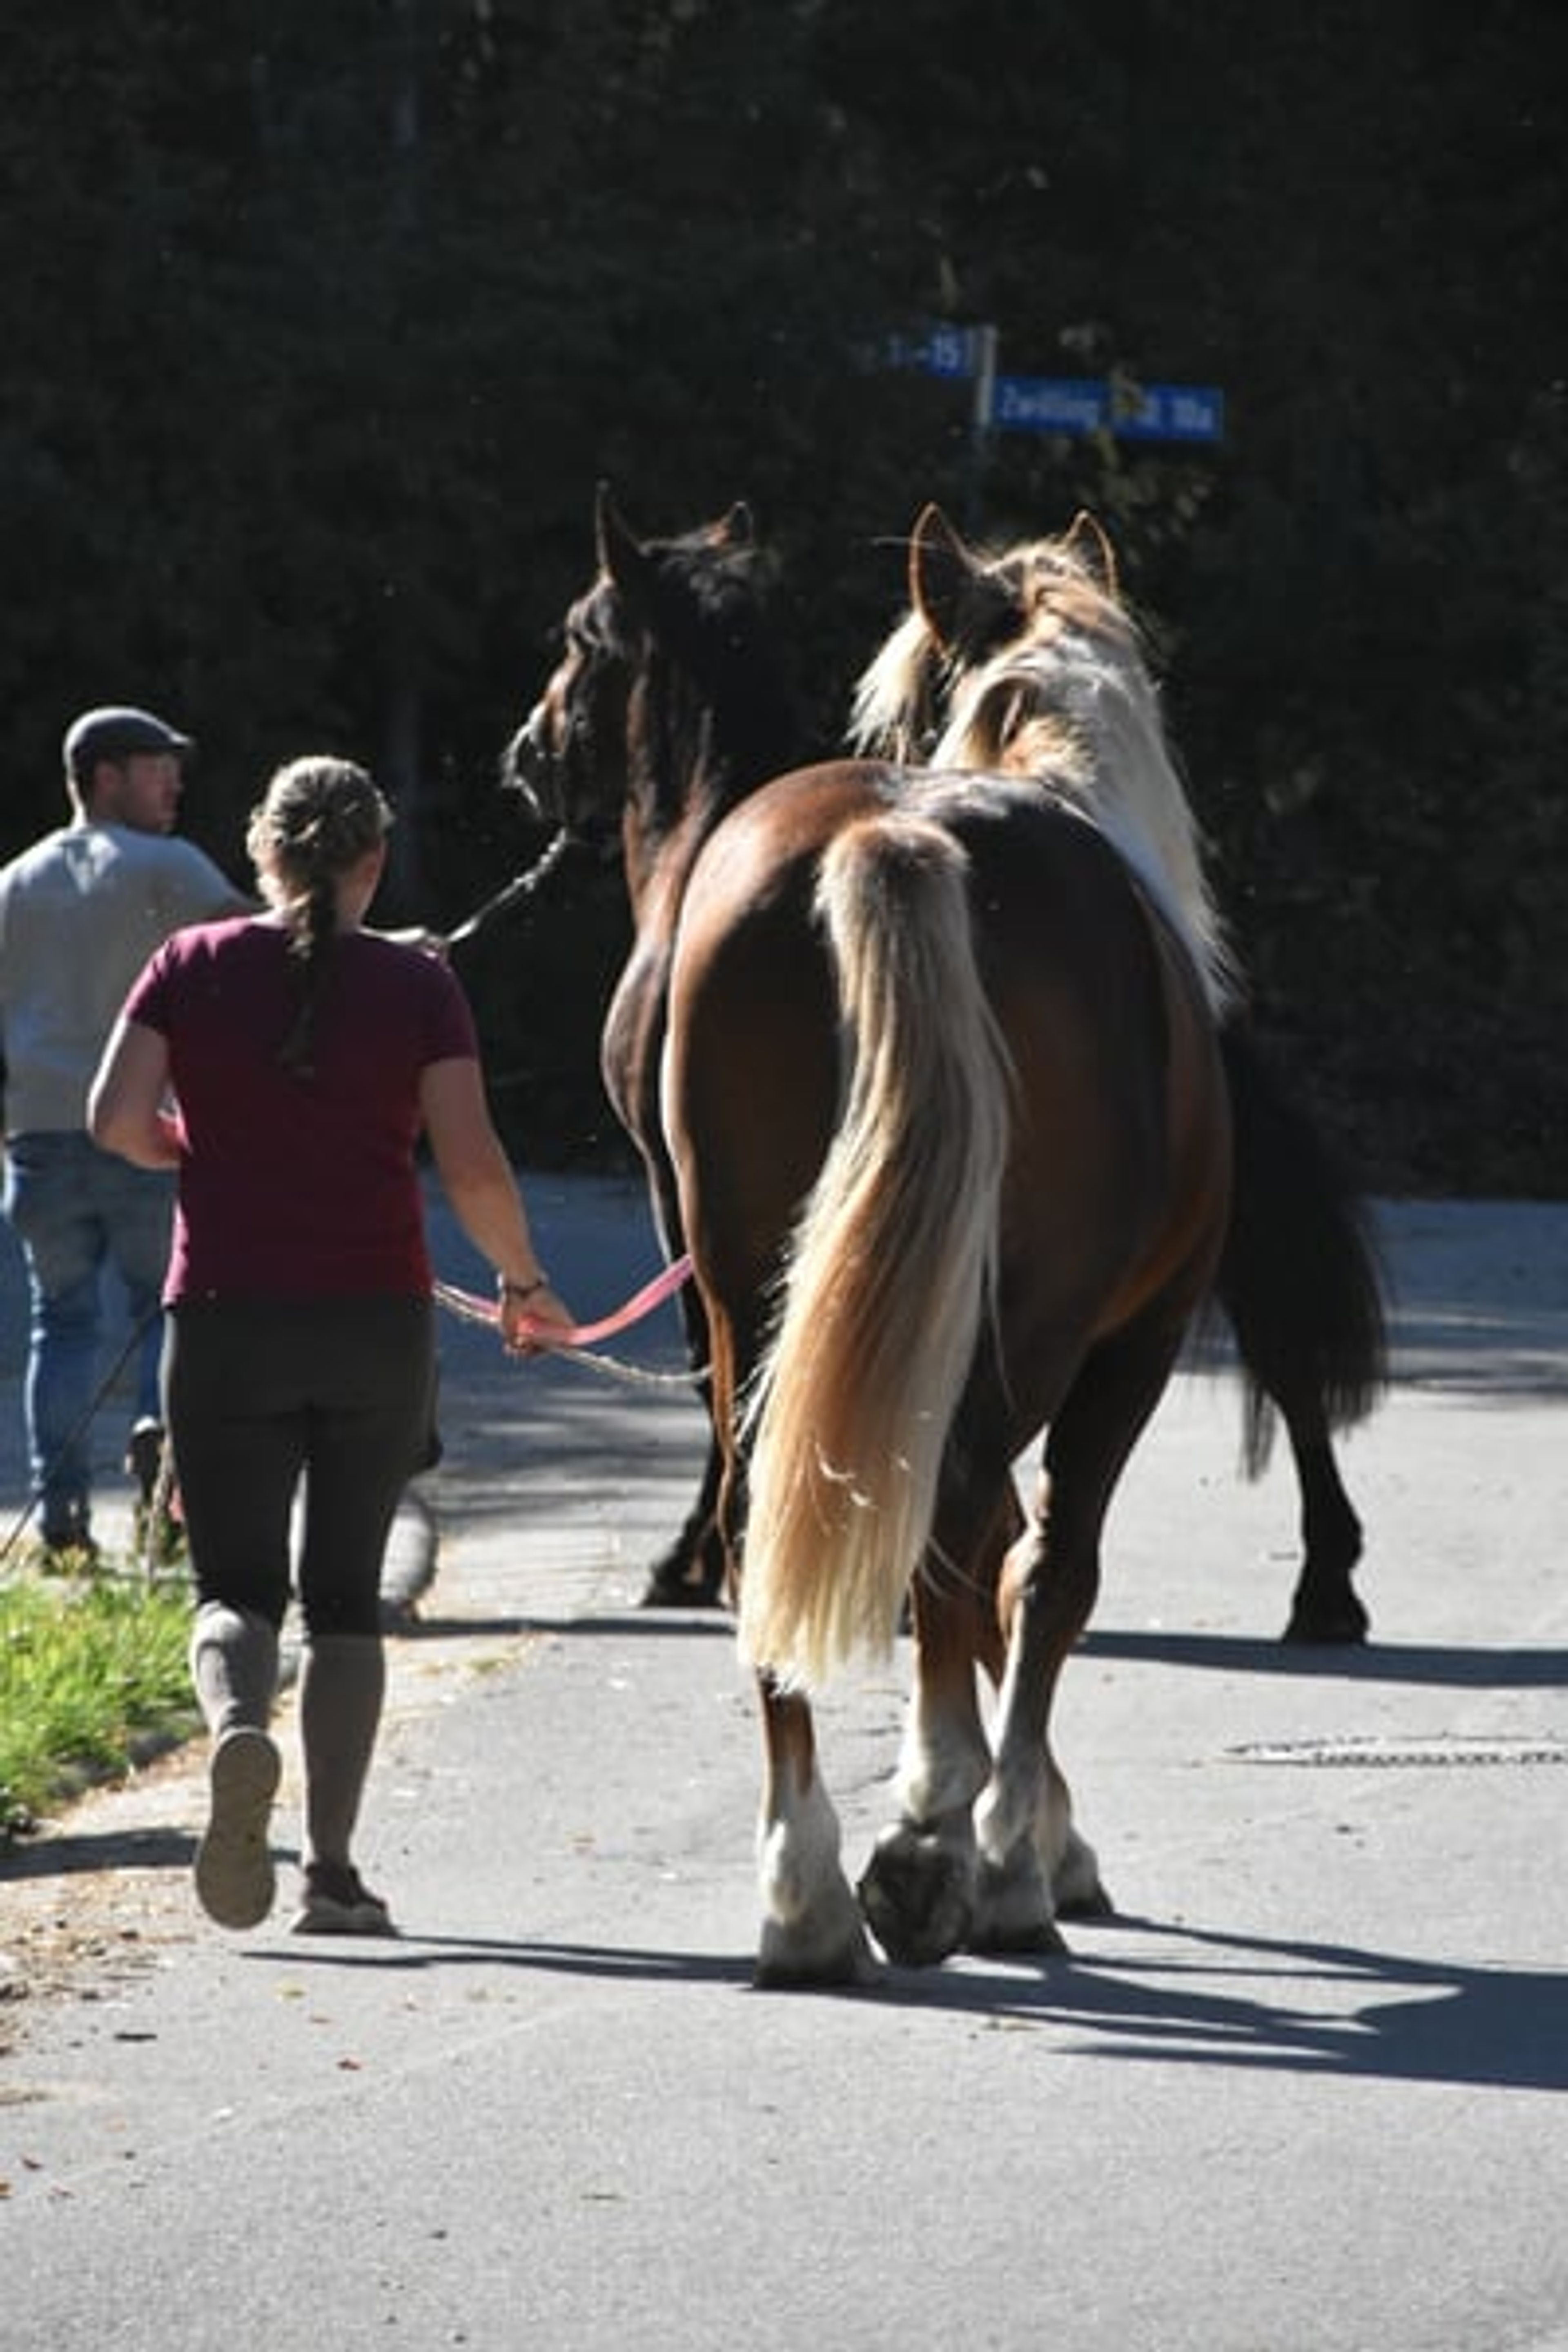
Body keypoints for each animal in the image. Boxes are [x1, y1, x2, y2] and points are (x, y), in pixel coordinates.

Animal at [509, 488, 1232, 1984]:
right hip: (1021, 1326)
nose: (527, 757)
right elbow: (1043, 1571)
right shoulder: (1128, 1339)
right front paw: (1025, 1844)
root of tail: (888, 841)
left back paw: (807, 1890)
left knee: (769, 1521)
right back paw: (937, 1842)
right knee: (963, 1533)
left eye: (581, 642)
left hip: (762, 1292)